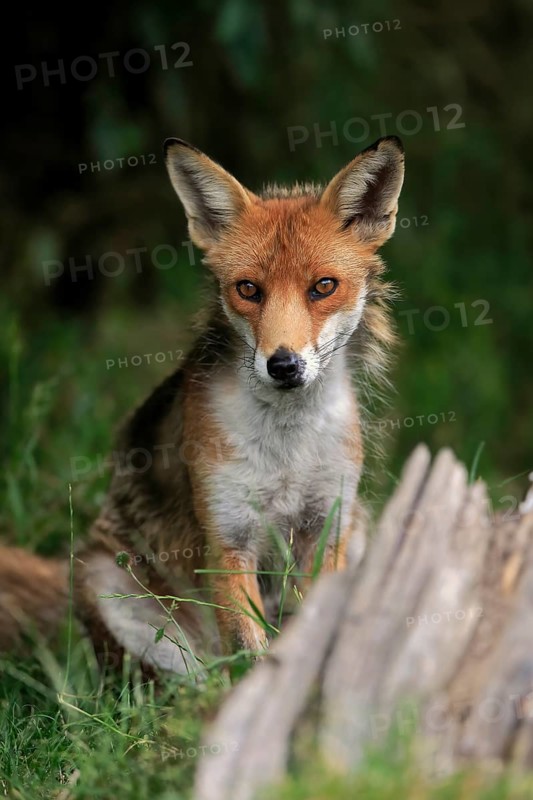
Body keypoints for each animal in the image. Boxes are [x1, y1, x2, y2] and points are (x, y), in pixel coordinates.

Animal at [0, 135, 404, 672]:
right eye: (248, 289)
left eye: (324, 287)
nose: (283, 365)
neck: (287, 452)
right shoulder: (228, 538)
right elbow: (249, 653)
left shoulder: (326, 528)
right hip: (108, 583)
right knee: (192, 681)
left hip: (359, 531)